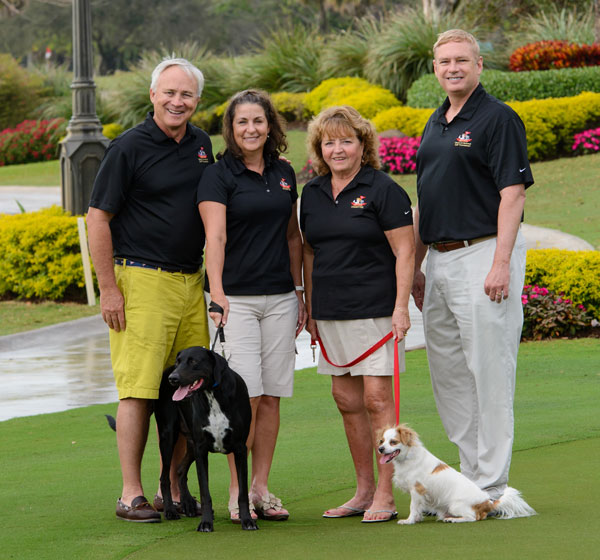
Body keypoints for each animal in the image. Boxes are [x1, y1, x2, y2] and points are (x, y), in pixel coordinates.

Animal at [155, 344, 258, 532]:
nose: (173, 379)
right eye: (178, 361)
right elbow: (205, 492)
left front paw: (247, 520)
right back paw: (170, 511)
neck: (212, 394)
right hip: (168, 435)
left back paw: (187, 504)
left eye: (193, 361)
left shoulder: (240, 448)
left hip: (190, 444)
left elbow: (242, 492)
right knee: (165, 477)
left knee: (179, 470)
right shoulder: (201, 449)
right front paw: (206, 522)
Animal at [378, 424, 536, 524]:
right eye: (381, 441)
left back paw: (453, 519)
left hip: (455, 506)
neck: (407, 458)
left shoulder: (417, 490)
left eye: (393, 442)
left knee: (473, 517)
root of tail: (488, 503)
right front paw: (416, 519)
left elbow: (413, 507)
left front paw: (409, 521)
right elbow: (418, 508)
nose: (380, 449)